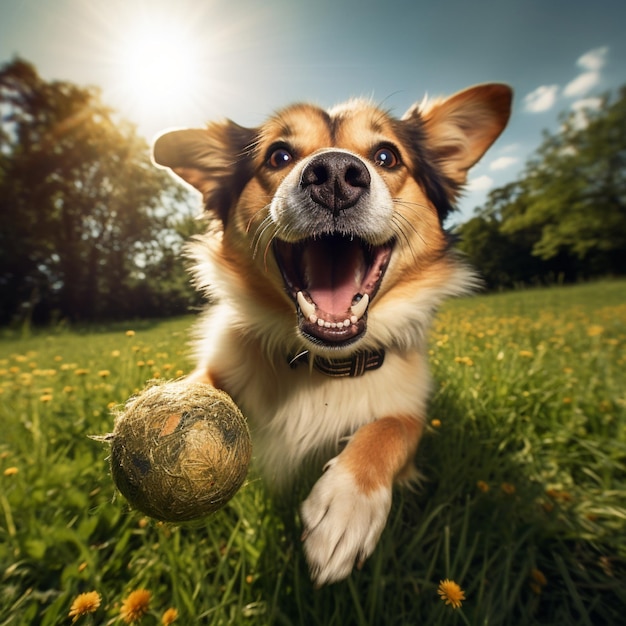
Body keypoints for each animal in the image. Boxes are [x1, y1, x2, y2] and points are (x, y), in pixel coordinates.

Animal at [152, 83, 512, 584]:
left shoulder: (410, 409)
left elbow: (392, 427)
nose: (336, 175)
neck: (322, 364)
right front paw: (163, 420)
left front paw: (346, 505)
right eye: (279, 155)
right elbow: (197, 388)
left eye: (386, 156)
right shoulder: (221, 365)